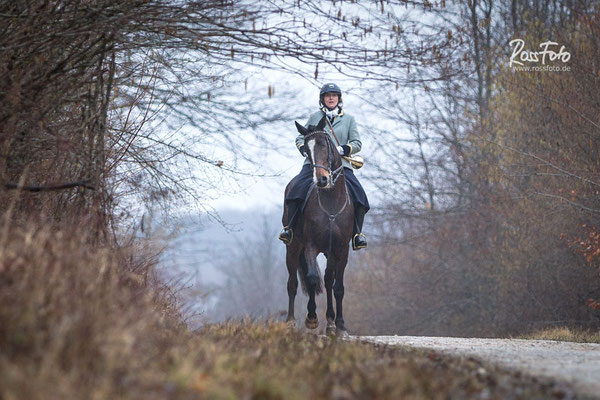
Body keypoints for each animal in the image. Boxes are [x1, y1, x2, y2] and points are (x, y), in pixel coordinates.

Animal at [282, 116, 354, 338]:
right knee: (293, 282)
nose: (321, 179)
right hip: (293, 247)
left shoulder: (341, 249)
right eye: (306, 150)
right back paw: (290, 321)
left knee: (329, 280)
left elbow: (338, 286)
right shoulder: (310, 245)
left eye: (325, 144)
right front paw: (312, 318)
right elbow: (312, 279)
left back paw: (330, 323)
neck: (330, 202)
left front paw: (340, 326)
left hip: (329, 252)